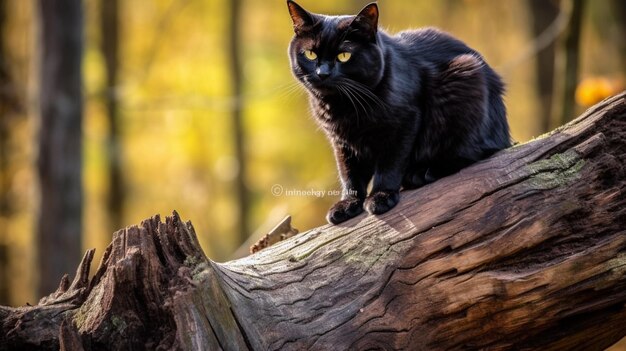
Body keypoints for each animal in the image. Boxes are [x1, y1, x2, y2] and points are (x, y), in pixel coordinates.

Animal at [286, 0, 510, 224]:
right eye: (310, 54)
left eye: (344, 55)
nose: (322, 73)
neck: (345, 106)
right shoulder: (341, 141)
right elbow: (350, 173)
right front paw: (347, 204)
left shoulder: (404, 123)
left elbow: (389, 165)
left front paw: (381, 197)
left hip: (465, 78)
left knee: (475, 152)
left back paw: (422, 173)